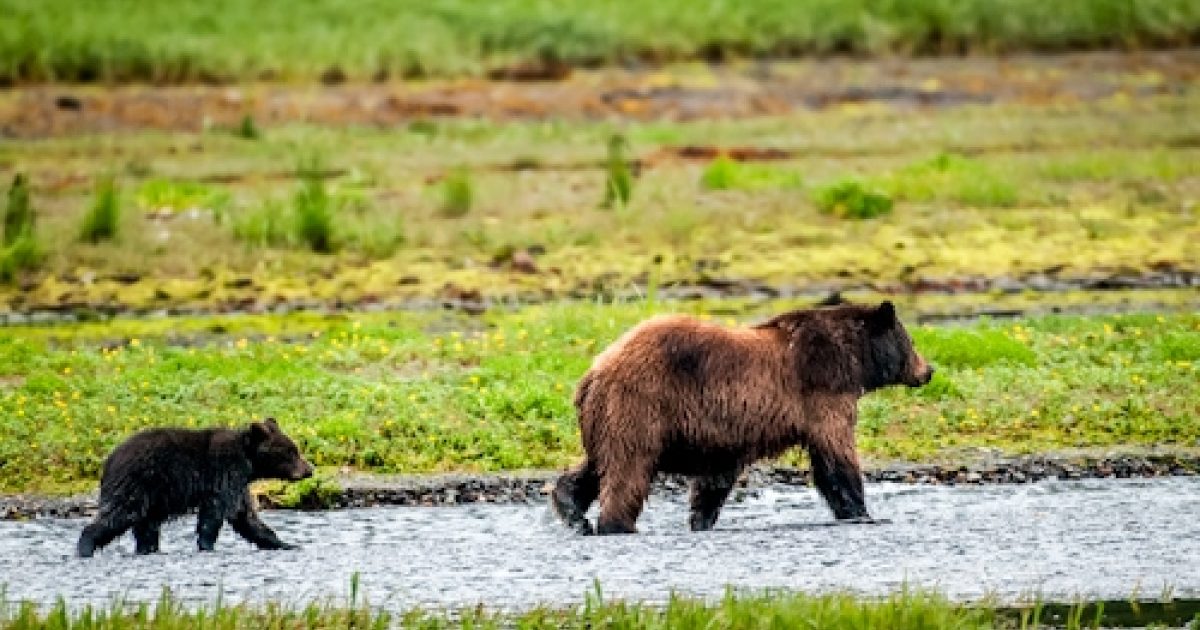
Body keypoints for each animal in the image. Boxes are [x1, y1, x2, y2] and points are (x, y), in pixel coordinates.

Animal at [77, 417, 313, 557]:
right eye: (290, 452)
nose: (309, 469)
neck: (249, 463)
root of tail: (109, 460)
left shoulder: (238, 485)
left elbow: (247, 518)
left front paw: (286, 544)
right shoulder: (224, 474)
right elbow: (214, 514)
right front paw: (207, 546)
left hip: (151, 497)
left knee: (146, 527)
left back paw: (148, 549)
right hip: (135, 484)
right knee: (117, 515)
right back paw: (85, 547)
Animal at [551, 301, 934, 535]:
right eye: (912, 341)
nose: (928, 370)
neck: (854, 360)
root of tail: (595, 371)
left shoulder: (729, 428)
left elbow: (717, 477)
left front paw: (701, 518)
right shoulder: (823, 393)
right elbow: (835, 458)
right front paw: (862, 513)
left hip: (608, 416)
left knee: (596, 465)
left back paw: (573, 512)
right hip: (641, 406)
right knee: (627, 468)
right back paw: (617, 524)